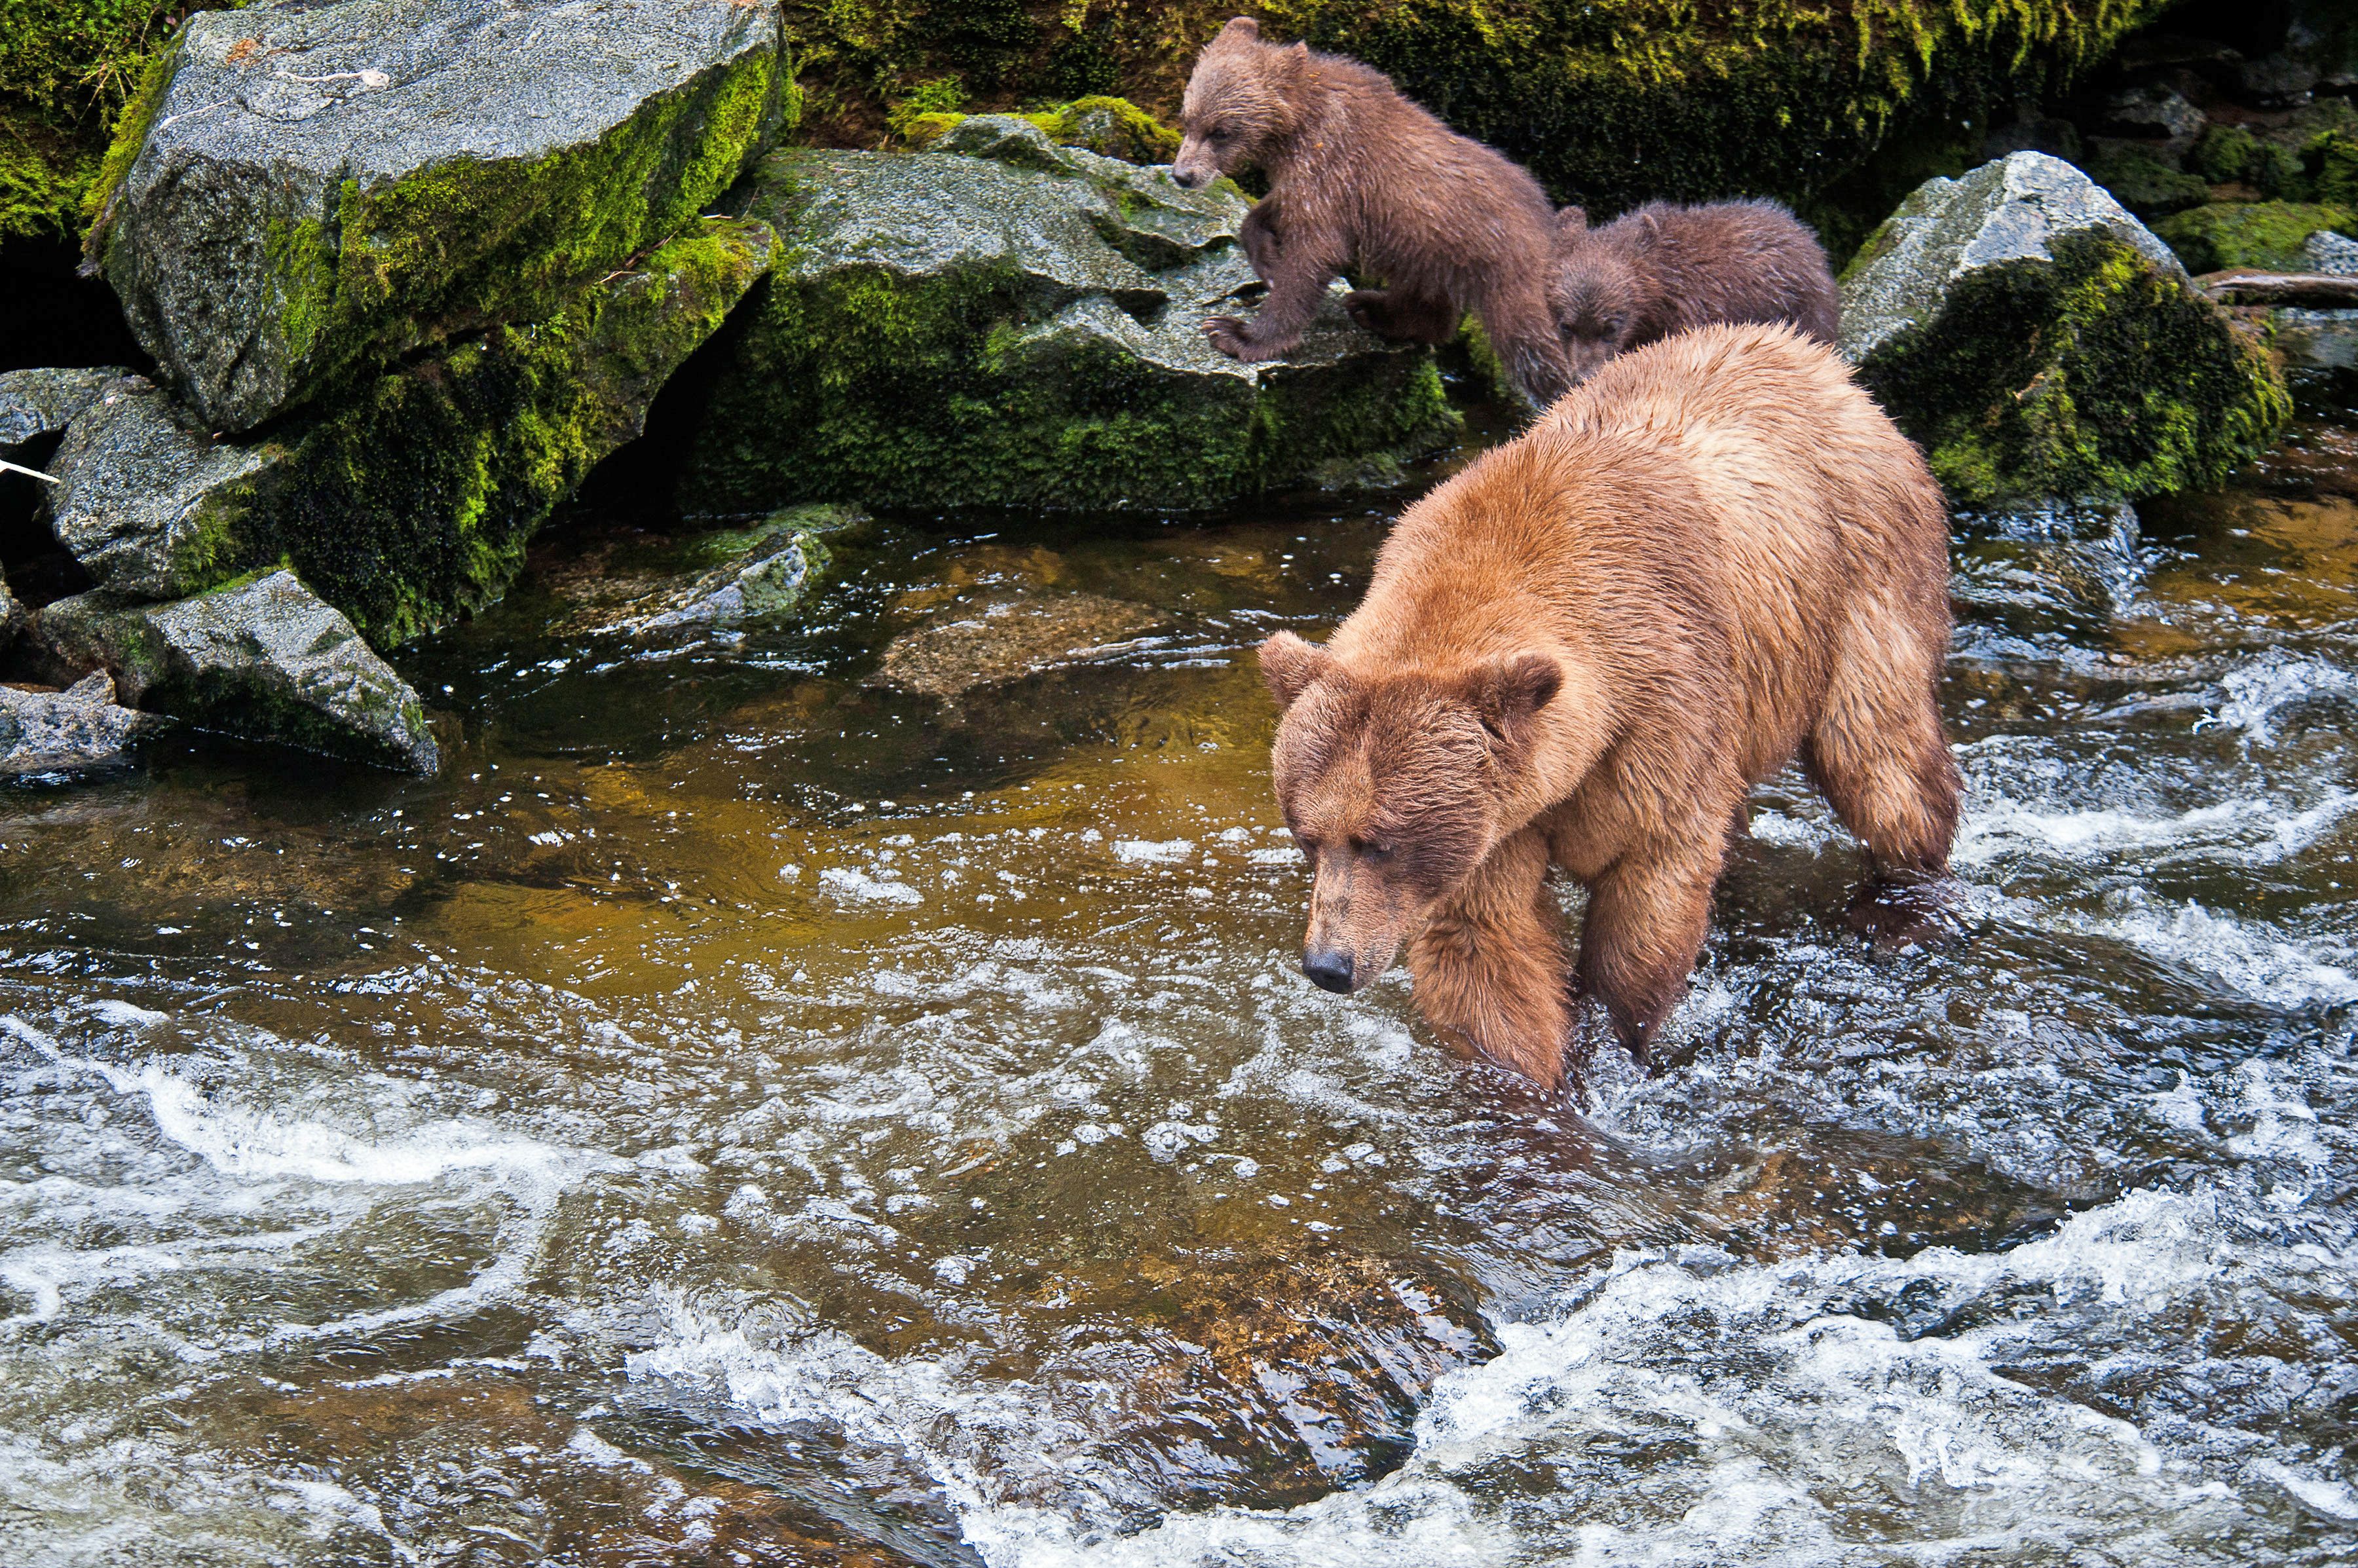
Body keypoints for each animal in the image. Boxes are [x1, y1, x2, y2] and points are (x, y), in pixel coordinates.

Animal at [1263, 320, 1962, 1089]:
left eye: (1382, 842)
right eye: (1307, 835)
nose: (1328, 965)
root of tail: (1821, 361)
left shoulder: (1657, 712)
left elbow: (1647, 894)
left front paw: (1608, 1043)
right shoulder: (1502, 814)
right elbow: (1488, 948)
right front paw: (1531, 1080)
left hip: (1863, 581)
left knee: (1879, 760)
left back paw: (1903, 902)